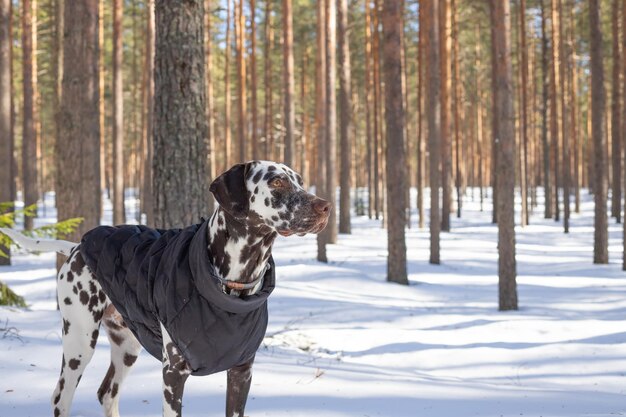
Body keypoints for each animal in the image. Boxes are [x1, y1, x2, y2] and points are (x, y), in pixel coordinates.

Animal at [1, 161, 332, 416]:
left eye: (300, 181)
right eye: (276, 181)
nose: (326, 206)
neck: (233, 288)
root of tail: (75, 247)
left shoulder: (241, 372)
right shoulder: (173, 374)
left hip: (127, 347)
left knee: (107, 393)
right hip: (79, 343)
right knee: (61, 397)